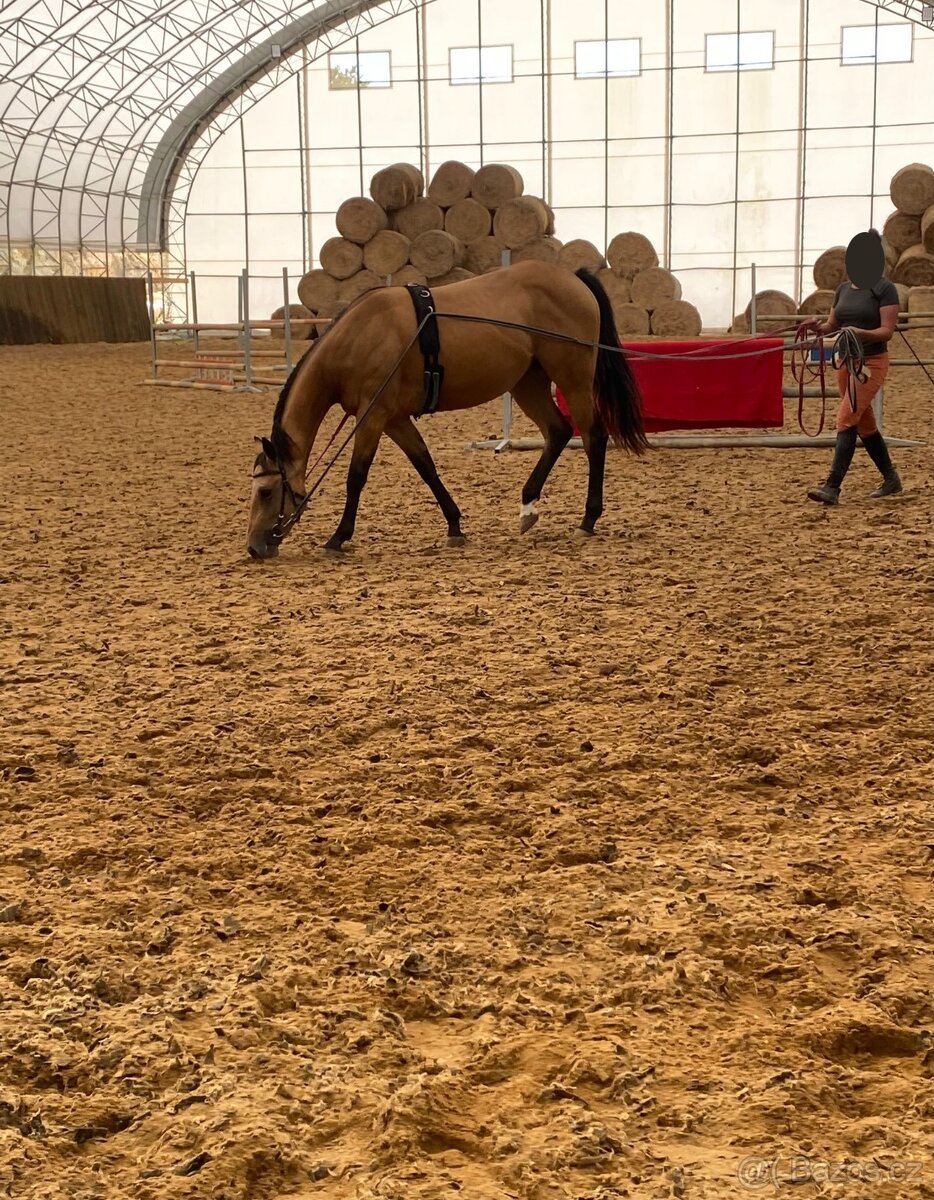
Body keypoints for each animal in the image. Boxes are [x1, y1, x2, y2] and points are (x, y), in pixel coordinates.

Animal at [246, 260, 648, 559]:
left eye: (265, 492)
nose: (254, 547)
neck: (359, 337)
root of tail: (573, 278)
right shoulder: (394, 418)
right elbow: (425, 465)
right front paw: (454, 526)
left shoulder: (372, 416)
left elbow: (356, 476)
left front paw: (338, 537)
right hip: (527, 382)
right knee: (558, 432)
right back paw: (528, 507)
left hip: (573, 379)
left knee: (593, 437)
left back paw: (588, 519)